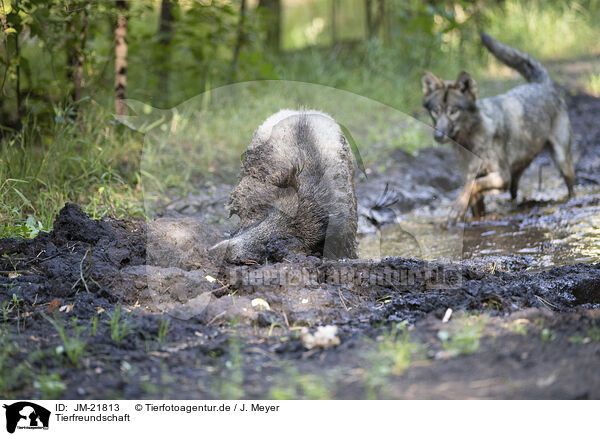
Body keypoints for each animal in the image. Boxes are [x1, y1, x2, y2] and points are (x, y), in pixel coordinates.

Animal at [420, 32, 576, 223]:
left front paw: (457, 209)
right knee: (514, 191)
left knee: (570, 186)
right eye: (435, 111)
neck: (470, 141)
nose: (438, 136)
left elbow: (472, 185)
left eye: (453, 111)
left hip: (561, 160)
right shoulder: (476, 179)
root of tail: (542, 84)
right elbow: (473, 193)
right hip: (519, 169)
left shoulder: (502, 176)